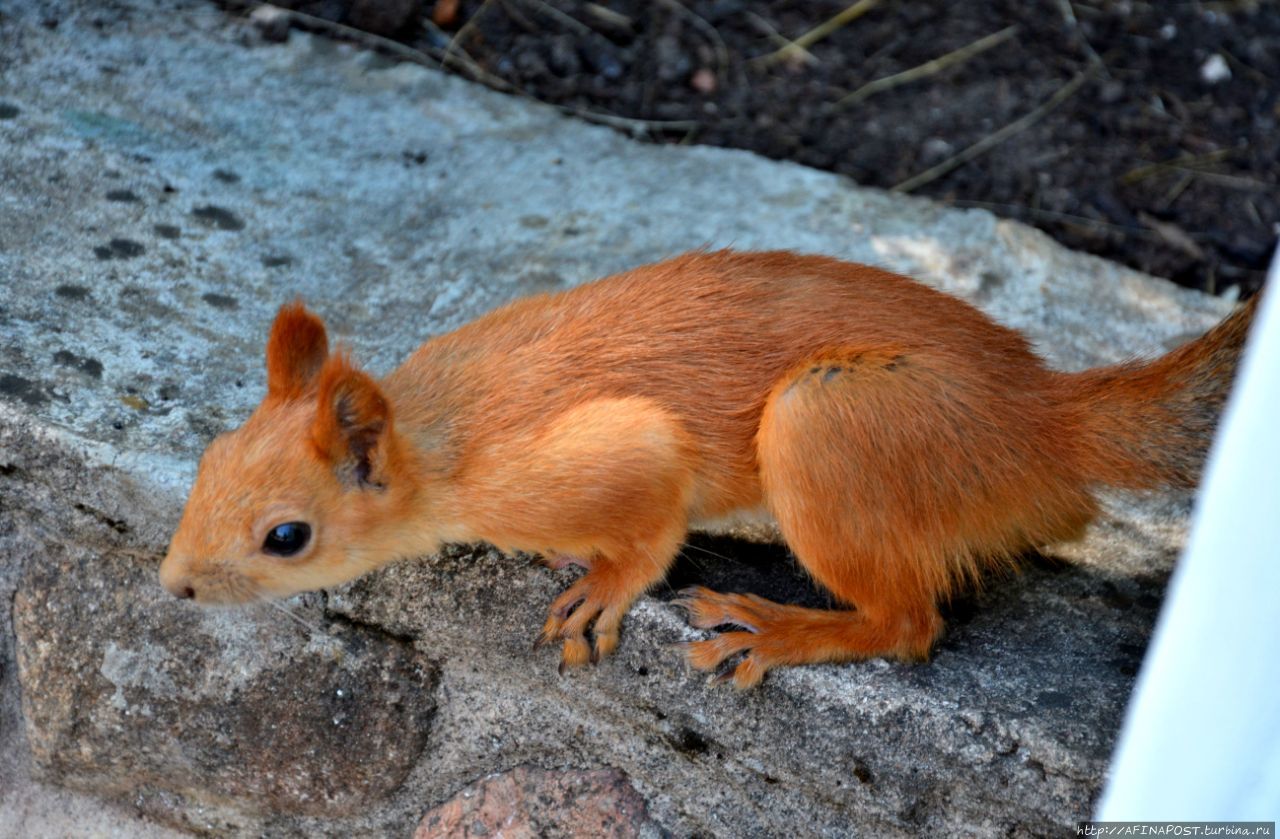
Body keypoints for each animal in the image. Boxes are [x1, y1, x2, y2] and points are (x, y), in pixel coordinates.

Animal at [160, 249, 1259, 691]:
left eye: (287, 536)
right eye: (209, 457)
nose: (171, 586)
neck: (439, 430)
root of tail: (1044, 416)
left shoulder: (604, 453)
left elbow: (650, 517)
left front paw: (603, 586)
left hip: (831, 421)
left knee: (908, 621)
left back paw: (777, 627)